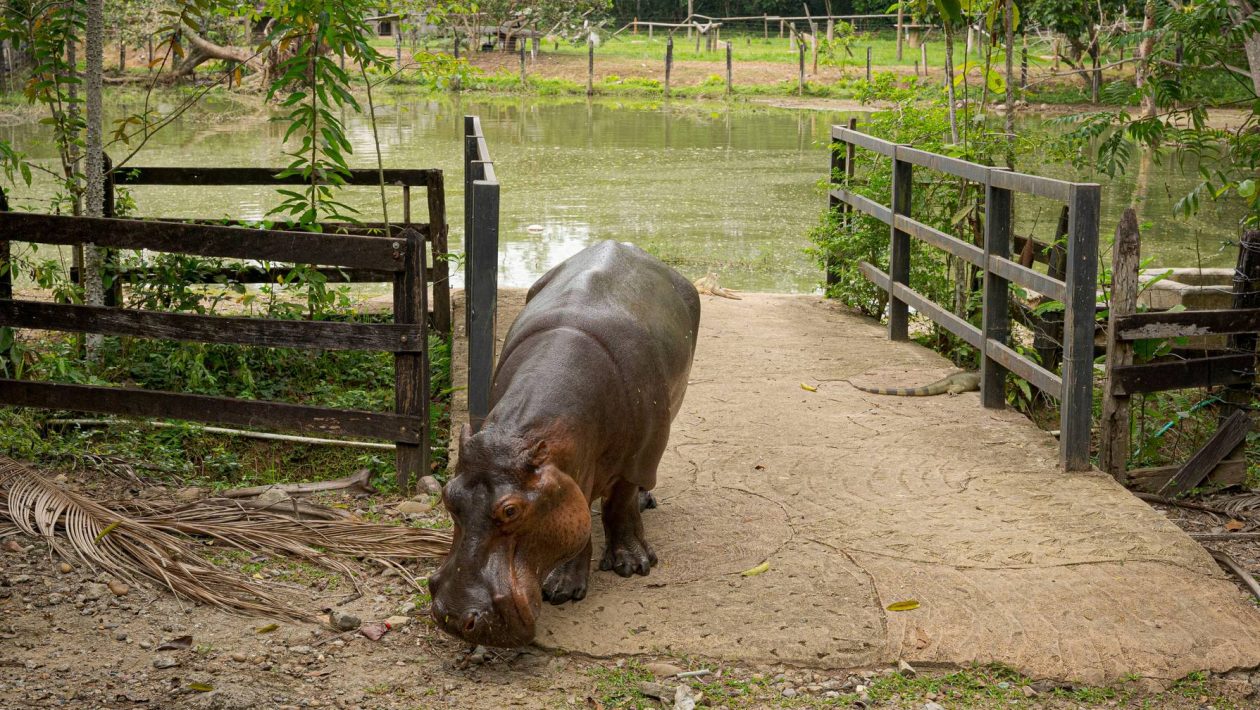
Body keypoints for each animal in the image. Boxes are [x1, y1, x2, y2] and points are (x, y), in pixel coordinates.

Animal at [428, 240, 700, 648]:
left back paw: (644, 502)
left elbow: (619, 505)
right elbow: (579, 516)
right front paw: (564, 588)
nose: (455, 618)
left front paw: (633, 566)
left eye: (511, 511)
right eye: (448, 496)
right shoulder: (571, 472)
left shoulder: (636, 456)